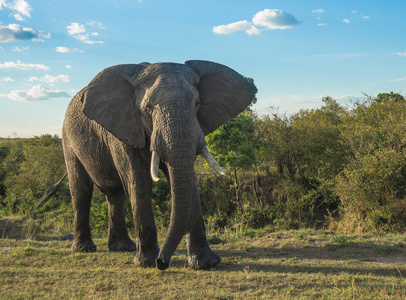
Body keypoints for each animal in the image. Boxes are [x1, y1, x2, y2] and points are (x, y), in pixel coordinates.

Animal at [41, 60, 256, 270]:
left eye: (197, 103)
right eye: (149, 108)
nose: (163, 262)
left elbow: (191, 183)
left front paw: (206, 263)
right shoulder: (125, 127)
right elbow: (140, 182)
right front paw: (147, 262)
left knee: (115, 194)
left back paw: (122, 248)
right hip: (68, 138)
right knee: (82, 190)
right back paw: (84, 249)